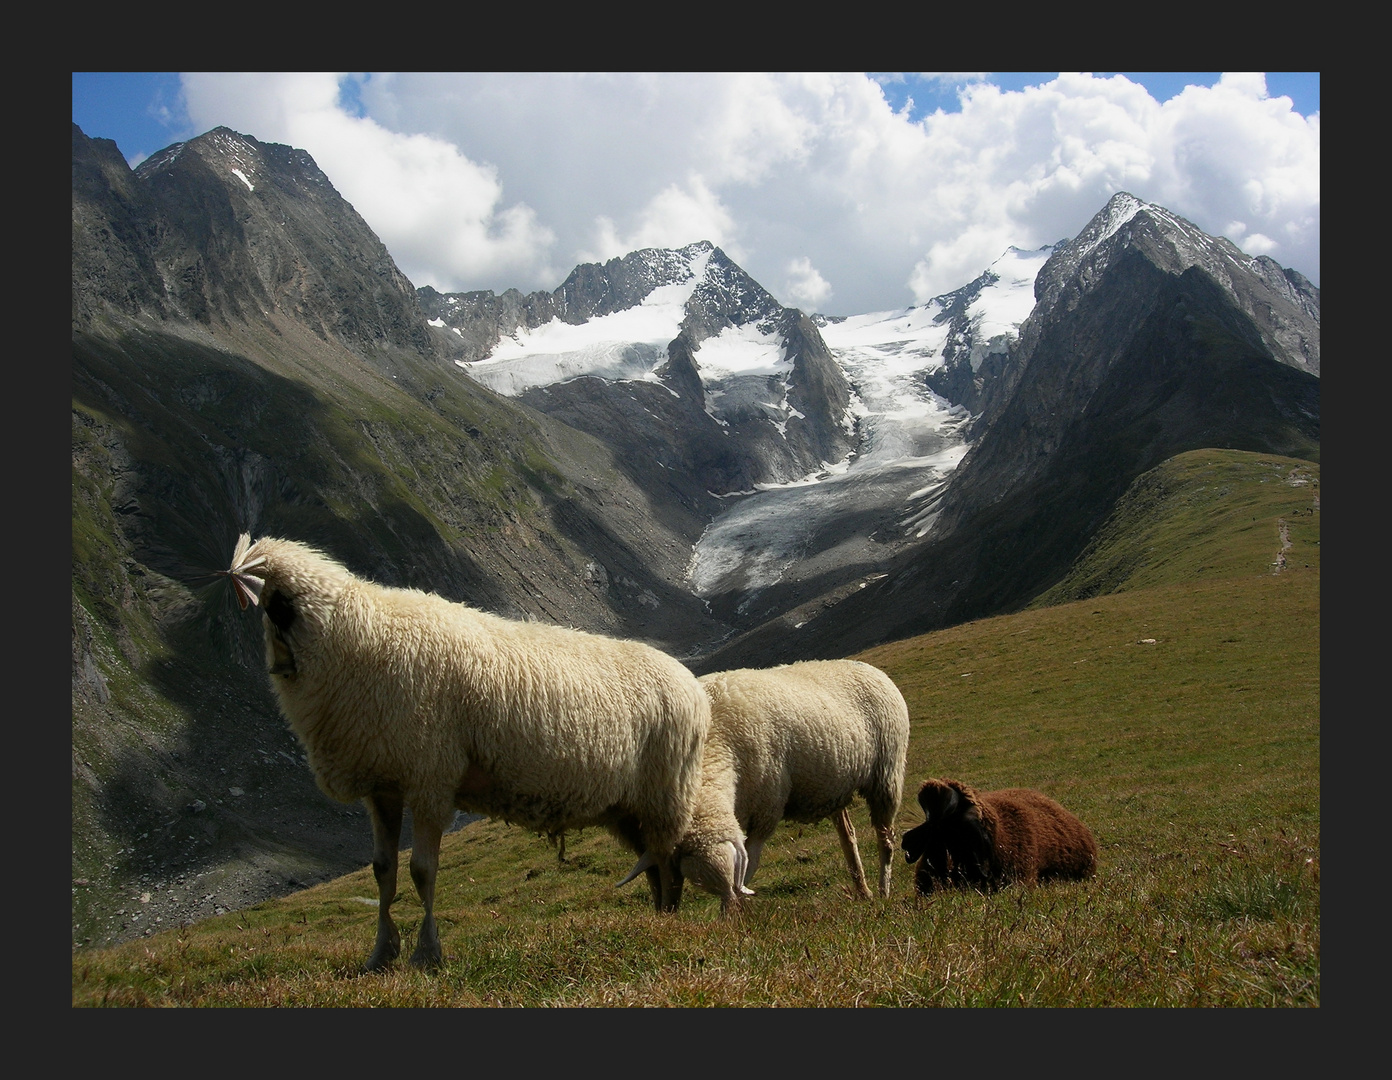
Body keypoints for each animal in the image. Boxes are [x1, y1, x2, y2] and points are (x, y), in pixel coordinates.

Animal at [226, 531, 712, 968]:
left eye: (277, 603)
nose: (279, 667)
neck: (359, 636)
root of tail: (692, 686)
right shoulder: (383, 787)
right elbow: (383, 871)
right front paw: (381, 953)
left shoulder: (430, 779)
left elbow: (422, 871)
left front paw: (426, 954)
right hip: (629, 807)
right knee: (653, 864)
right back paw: (657, 918)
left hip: (664, 795)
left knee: (667, 863)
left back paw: (667, 923)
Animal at [623, 656, 907, 912]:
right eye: (698, 882)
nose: (729, 915)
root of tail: (868, 667)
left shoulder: (766, 812)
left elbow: (750, 865)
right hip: (834, 787)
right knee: (848, 836)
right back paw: (863, 891)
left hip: (887, 774)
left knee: (886, 838)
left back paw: (884, 889)